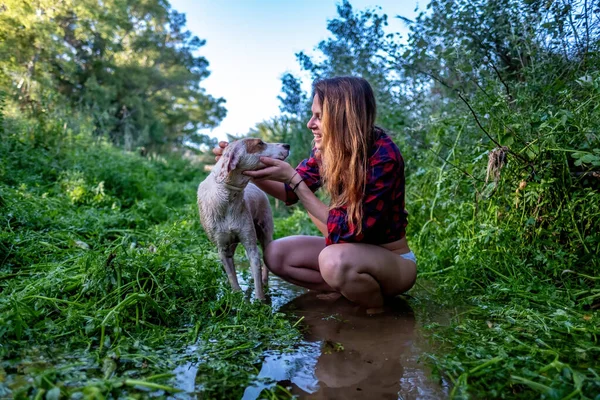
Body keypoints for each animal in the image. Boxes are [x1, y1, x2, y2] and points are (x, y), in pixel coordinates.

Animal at [198, 139, 290, 298]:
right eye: (260, 143)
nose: (287, 145)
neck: (228, 197)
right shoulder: (222, 249)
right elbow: (232, 278)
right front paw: (236, 295)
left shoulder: (251, 247)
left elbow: (258, 283)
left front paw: (260, 300)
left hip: (265, 234)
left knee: (265, 264)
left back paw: (265, 282)